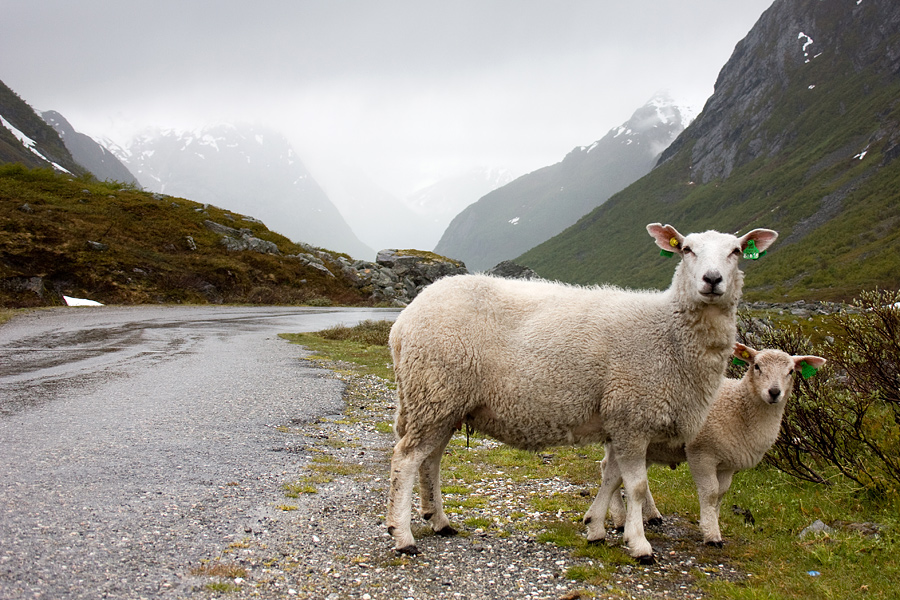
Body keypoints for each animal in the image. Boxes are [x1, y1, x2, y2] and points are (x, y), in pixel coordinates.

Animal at [388, 221, 780, 564]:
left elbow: (612, 476)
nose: (712, 280)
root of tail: (403, 321)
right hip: (435, 391)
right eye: (686, 249)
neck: (668, 332)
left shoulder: (620, 421)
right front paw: (639, 545)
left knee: (431, 460)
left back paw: (439, 521)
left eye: (736, 251)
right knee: (406, 459)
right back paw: (402, 536)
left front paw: (595, 527)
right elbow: (636, 486)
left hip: (442, 402)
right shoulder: (632, 416)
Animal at [600, 340, 828, 548]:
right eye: (757, 366)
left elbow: (720, 494)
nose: (774, 392)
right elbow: (710, 493)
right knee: (608, 470)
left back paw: (651, 515)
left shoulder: (728, 462)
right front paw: (712, 535)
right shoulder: (701, 453)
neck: (739, 407)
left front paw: (713, 523)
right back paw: (620, 518)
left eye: (791, 371)